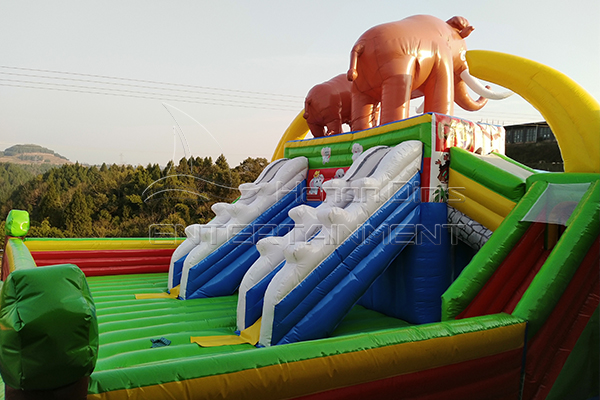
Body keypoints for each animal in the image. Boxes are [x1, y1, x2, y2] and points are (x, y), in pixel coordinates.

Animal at [346, 14, 510, 129]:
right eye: (464, 56)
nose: (488, 85)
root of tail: (361, 45)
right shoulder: (443, 54)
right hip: (396, 66)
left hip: (360, 83)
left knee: (362, 105)